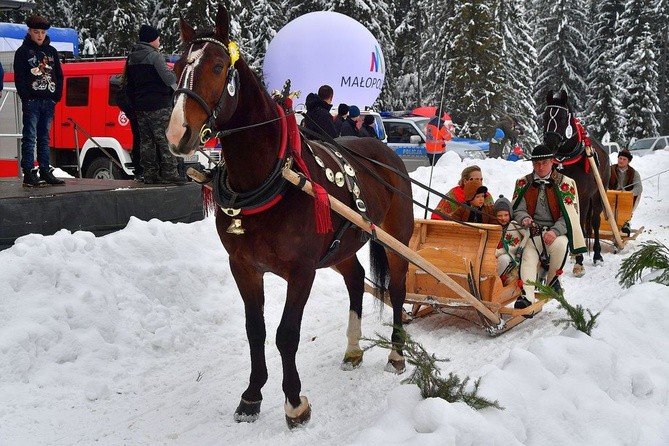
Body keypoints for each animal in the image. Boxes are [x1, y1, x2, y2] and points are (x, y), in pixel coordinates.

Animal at [166, 4, 412, 428]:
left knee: (397, 290)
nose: (178, 132)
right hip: (341, 247)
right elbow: (256, 330)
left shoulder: (301, 271)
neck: (269, 177)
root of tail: (387, 154)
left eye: (217, 66)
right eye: (179, 64)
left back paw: (396, 353)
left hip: (397, 239)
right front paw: (251, 395)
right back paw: (353, 349)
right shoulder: (244, 266)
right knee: (356, 280)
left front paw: (294, 402)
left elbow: (286, 334)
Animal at [544, 89, 612, 276]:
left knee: (594, 222)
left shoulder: (582, 194)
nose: (549, 144)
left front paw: (580, 262)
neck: (567, 159)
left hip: (597, 194)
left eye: (561, 118)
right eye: (545, 117)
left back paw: (596, 255)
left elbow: (581, 225)